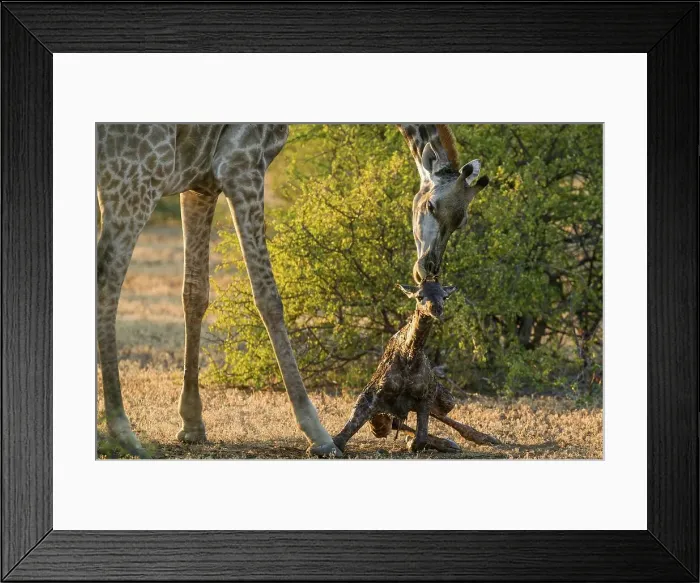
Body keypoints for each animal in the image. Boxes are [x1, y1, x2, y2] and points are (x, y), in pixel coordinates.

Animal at [96, 123, 486, 458]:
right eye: (431, 205)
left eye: (461, 219)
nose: (428, 267)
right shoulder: (241, 165)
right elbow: (268, 296)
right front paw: (317, 432)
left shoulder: (199, 184)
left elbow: (195, 293)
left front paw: (192, 424)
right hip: (136, 175)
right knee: (107, 278)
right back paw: (122, 430)